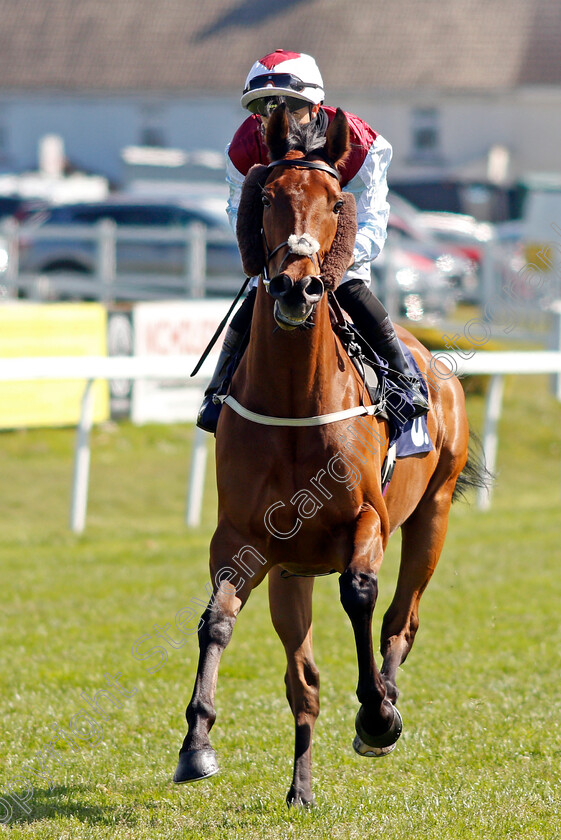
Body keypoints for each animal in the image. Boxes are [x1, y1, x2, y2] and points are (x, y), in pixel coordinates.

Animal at [175, 105, 476, 808]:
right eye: (267, 198)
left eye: (336, 201)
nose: (297, 286)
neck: (294, 401)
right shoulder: (245, 539)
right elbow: (215, 621)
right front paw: (196, 742)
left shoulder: (368, 522)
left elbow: (361, 594)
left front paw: (377, 713)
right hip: (293, 573)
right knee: (303, 680)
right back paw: (301, 788)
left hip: (433, 515)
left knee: (401, 620)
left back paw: (383, 706)